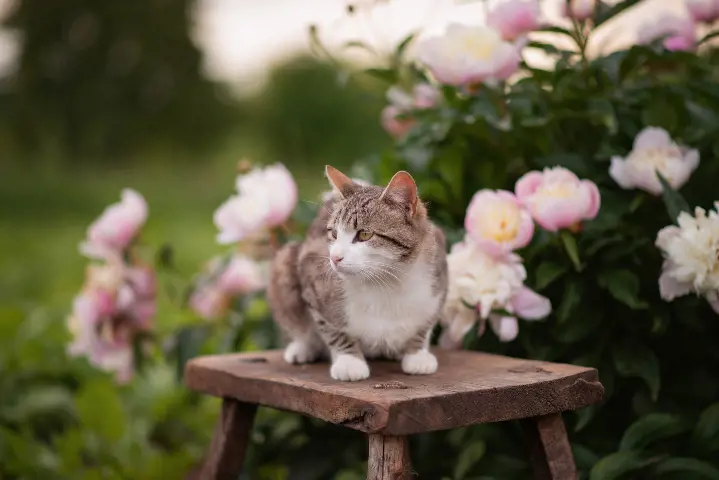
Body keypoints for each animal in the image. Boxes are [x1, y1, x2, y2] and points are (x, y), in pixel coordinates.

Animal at [268, 166, 448, 382]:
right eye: (333, 233)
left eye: (364, 234)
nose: (334, 257)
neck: (386, 282)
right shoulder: (312, 278)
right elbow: (333, 329)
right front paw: (349, 360)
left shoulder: (438, 279)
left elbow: (425, 323)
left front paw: (417, 353)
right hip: (285, 264)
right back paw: (303, 347)